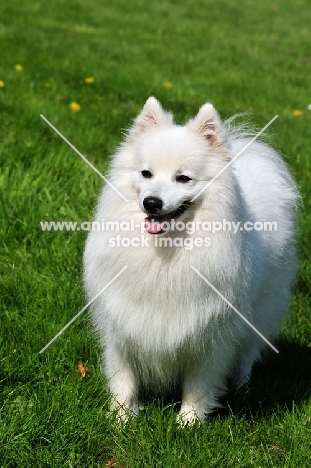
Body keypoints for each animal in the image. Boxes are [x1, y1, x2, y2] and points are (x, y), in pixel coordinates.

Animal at [83, 98, 300, 424]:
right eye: (146, 174)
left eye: (183, 178)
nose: (151, 202)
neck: (166, 252)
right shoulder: (122, 321)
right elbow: (125, 376)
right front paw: (120, 418)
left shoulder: (211, 331)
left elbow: (199, 382)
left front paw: (188, 423)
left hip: (260, 310)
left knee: (248, 352)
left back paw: (242, 386)